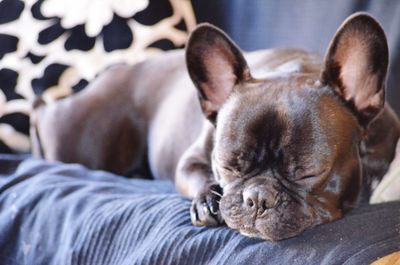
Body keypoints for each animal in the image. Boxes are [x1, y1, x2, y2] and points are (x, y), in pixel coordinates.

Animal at [31, 12, 400, 240]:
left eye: (309, 172)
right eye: (227, 165)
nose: (257, 197)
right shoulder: (190, 160)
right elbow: (196, 174)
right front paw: (208, 200)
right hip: (81, 144)